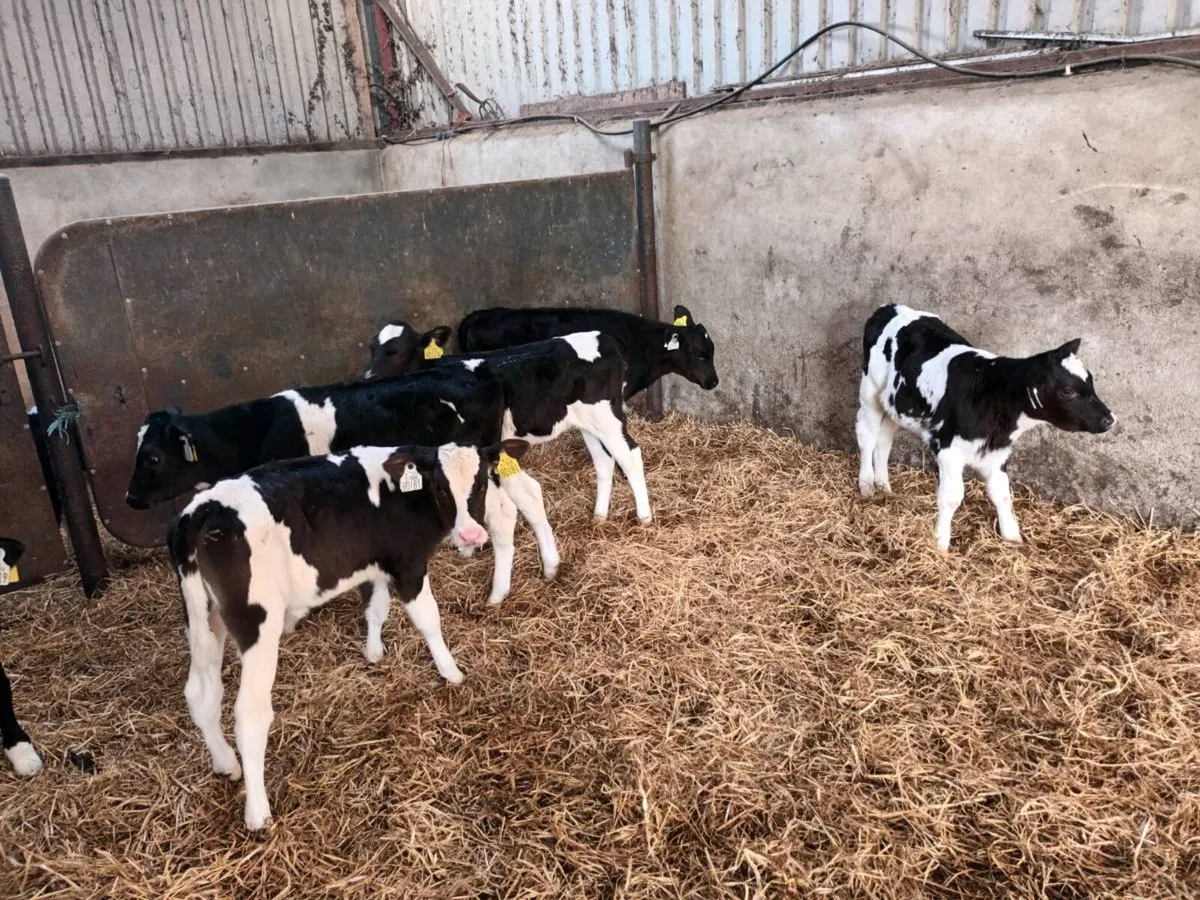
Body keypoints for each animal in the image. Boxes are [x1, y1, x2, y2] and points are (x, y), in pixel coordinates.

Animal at [126, 366, 558, 609]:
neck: (253, 429)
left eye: (152, 458)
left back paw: (498, 591)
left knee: (502, 514)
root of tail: (483, 375)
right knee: (529, 493)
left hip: (477, 465)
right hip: (494, 459)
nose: (130, 498)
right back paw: (550, 565)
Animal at [171, 439, 524, 830]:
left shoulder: (376, 564)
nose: (471, 535)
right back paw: (257, 811)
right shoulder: (408, 565)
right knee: (250, 713)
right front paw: (452, 672)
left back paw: (225, 763)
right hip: (257, 622)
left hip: (205, 618)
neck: (401, 492)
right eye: (440, 487)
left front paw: (374, 653)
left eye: (481, 482)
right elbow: (428, 619)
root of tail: (202, 511)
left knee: (201, 695)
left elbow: (376, 607)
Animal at [363, 327, 654, 524]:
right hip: (588, 422)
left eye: (398, 351)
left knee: (629, 455)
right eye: (372, 349)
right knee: (604, 460)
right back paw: (599, 515)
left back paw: (644, 517)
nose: (369, 377)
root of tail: (603, 338)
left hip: (607, 416)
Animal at [856, 304, 1115, 550]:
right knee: (867, 435)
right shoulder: (948, 449)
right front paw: (940, 541)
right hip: (870, 390)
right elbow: (952, 497)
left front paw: (1012, 536)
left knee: (885, 438)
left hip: (895, 402)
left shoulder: (997, 452)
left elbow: (1002, 494)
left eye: (1091, 380)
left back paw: (884, 485)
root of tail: (890, 307)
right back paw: (867, 484)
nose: (1110, 419)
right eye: (1067, 391)